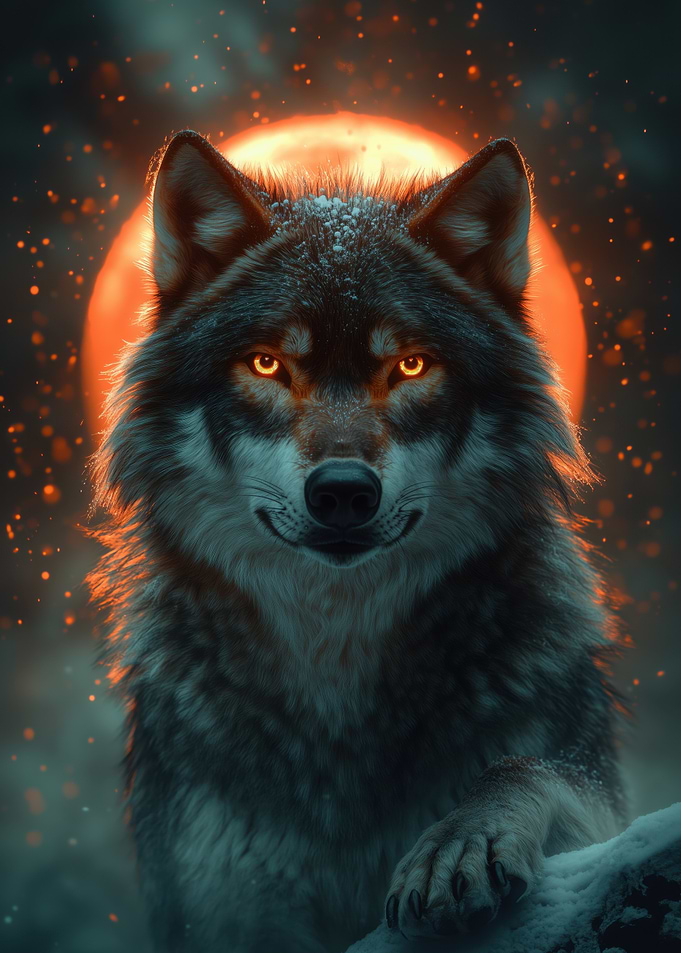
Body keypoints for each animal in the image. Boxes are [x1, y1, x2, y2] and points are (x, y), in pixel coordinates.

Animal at [88, 128, 629, 953]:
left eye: (408, 363)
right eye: (267, 362)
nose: (342, 491)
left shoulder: (590, 788)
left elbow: (519, 768)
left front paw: (457, 844)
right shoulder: (222, 908)